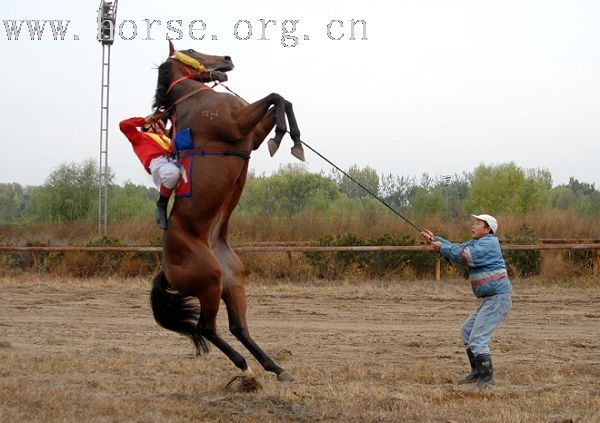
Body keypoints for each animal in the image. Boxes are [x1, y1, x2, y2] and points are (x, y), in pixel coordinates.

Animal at [148, 41, 302, 386]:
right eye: (192, 49)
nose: (227, 59)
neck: (195, 99)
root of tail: (166, 267)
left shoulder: (250, 135)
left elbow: (281, 99)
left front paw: (293, 140)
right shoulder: (237, 124)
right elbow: (275, 97)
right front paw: (282, 138)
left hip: (232, 281)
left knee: (237, 326)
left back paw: (275, 367)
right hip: (210, 282)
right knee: (207, 327)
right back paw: (244, 366)